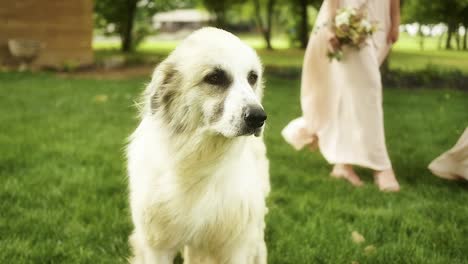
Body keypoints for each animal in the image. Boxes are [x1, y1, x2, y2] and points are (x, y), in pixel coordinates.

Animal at [126, 27, 270, 264]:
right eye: (215, 78)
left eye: (252, 77)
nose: (258, 117)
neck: (199, 158)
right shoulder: (157, 245)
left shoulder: (236, 244)